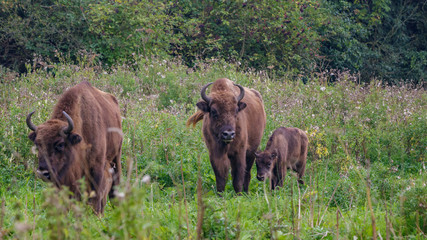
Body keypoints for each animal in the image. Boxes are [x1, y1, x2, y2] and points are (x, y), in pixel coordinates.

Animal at [27, 81, 122, 214]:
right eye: (37, 143)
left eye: (60, 144)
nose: (43, 173)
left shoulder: (97, 166)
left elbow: (96, 194)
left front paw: (96, 214)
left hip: (116, 155)